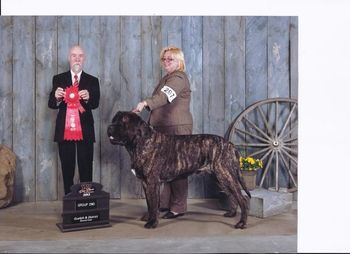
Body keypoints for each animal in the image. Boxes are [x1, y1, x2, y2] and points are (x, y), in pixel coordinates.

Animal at [108, 110, 250, 228]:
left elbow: (153, 204)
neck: (140, 142)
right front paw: (149, 217)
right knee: (232, 196)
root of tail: (229, 144)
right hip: (220, 178)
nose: (109, 127)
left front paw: (152, 223)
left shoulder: (152, 182)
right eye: (114, 119)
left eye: (123, 121)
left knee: (242, 199)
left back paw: (242, 223)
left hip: (225, 175)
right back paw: (231, 213)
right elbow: (149, 203)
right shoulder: (145, 182)